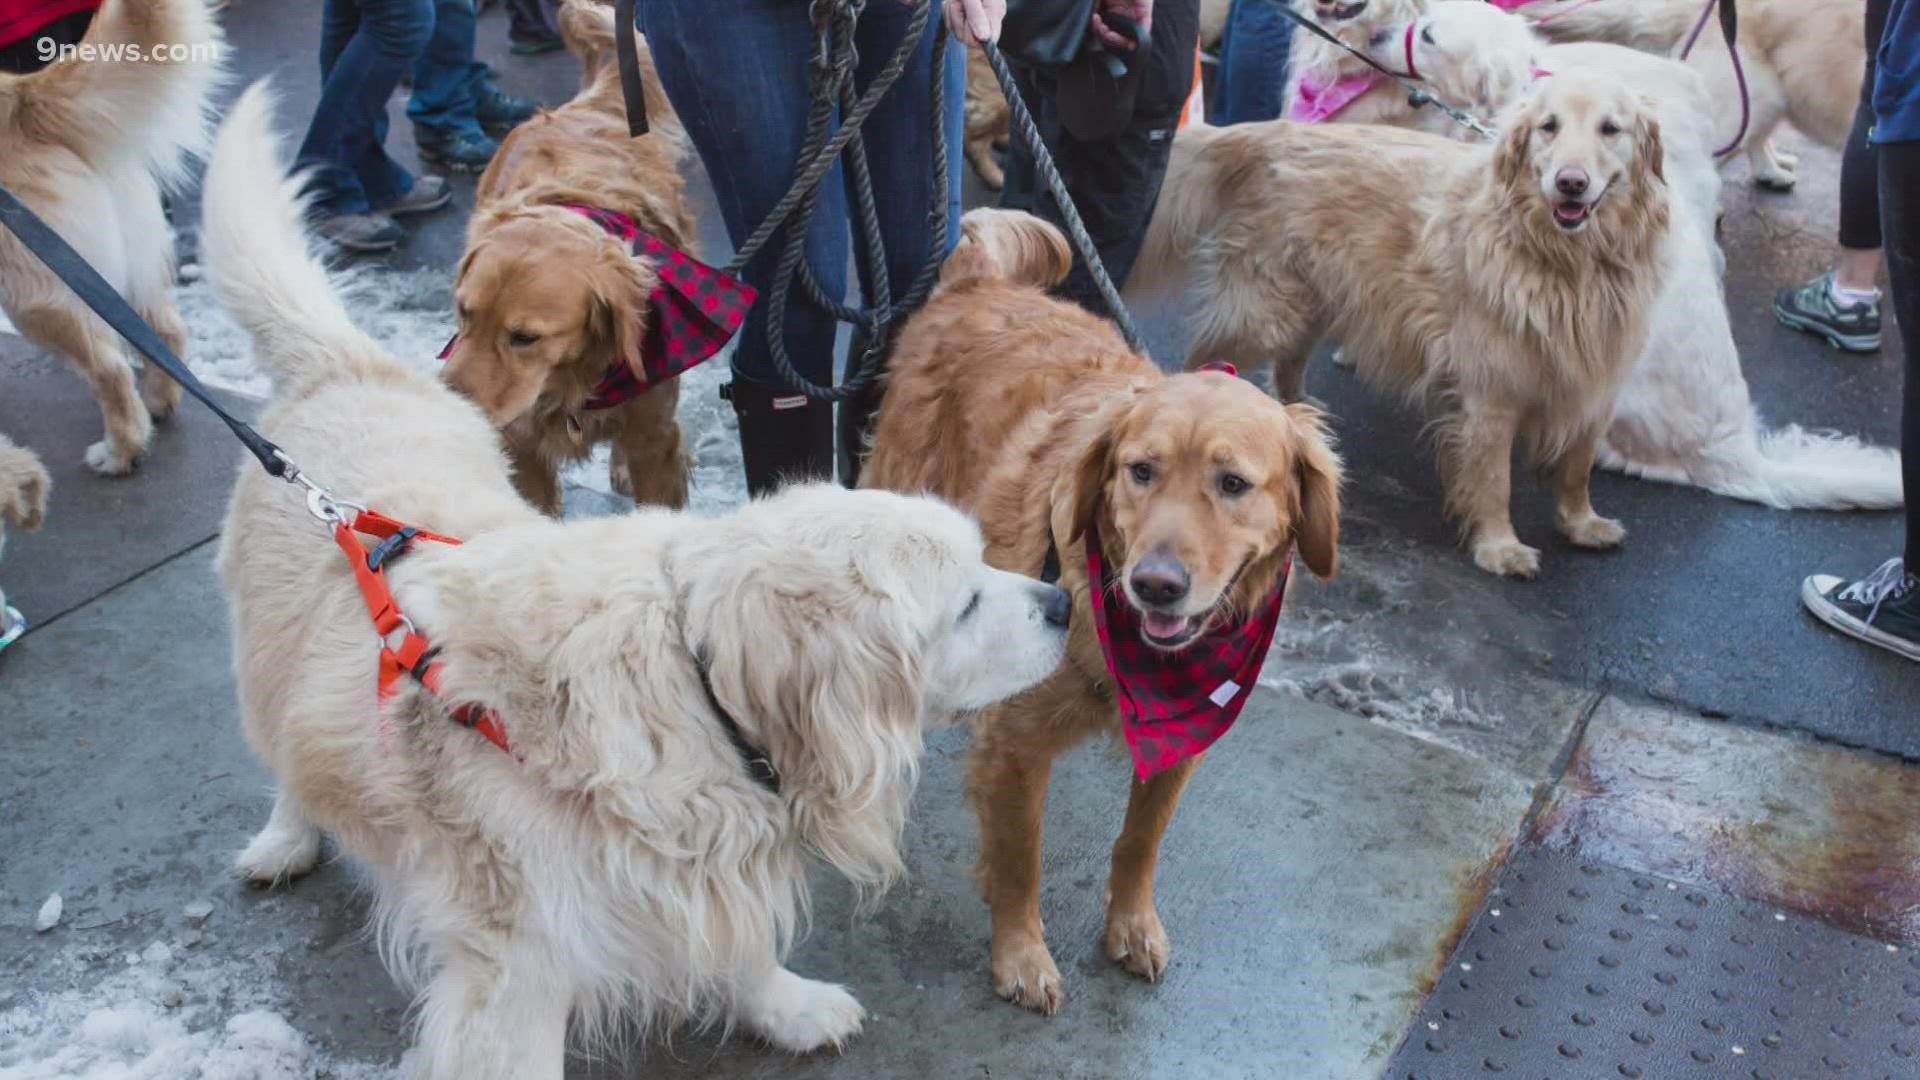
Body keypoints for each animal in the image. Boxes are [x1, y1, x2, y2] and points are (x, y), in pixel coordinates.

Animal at [0, 0, 222, 470]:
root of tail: (19, 95)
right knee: (165, 330)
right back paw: (159, 403)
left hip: (37, 289)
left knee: (110, 366)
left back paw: (121, 451)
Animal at [212, 85, 1082, 1076]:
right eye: (966, 602)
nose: (1063, 601)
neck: (695, 681)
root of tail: (347, 369)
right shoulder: (516, 969)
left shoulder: (709, 863)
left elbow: (745, 944)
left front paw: (784, 1006)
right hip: (267, 649)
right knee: (284, 751)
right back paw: (286, 835)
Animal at [864, 208, 1344, 1006]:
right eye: (1140, 471)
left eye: (1233, 484)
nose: (1157, 585)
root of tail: (979, 282)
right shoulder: (1019, 745)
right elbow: (1023, 856)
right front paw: (1020, 953)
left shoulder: (1183, 742)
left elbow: (1140, 841)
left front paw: (1132, 925)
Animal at [1136, 70, 1666, 576]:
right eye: (1548, 127)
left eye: (1610, 128)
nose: (1570, 182)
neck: (1568, 263)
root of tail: (1270, 132)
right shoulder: (1492, 392)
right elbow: (1495, 479)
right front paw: (1499, 547)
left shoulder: (1596, 383)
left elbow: (1577, 467)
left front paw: (1582, 523)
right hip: (1263, 313)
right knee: (1204, 363)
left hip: (1314, 300)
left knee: (1289, 363)